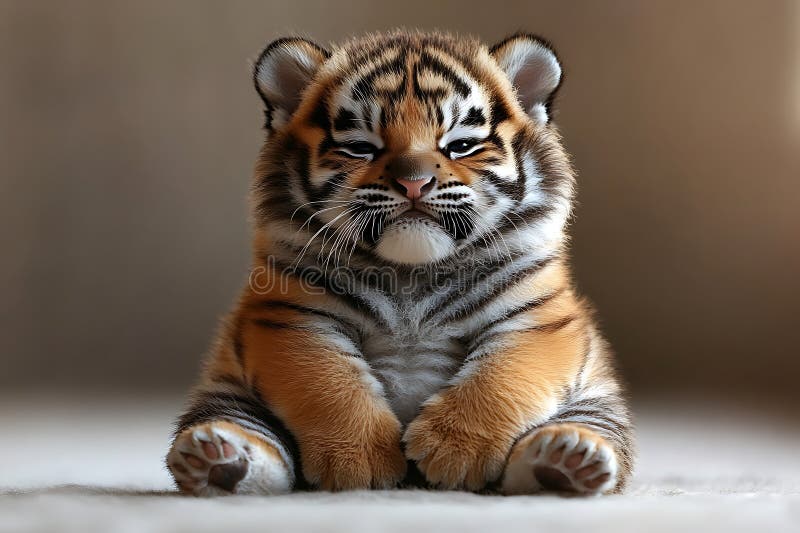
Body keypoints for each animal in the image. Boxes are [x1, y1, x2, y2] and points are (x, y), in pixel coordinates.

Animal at [166, 30, 635, 496]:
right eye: (361, 148)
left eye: (461, 145)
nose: (414, 182)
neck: (411, 271)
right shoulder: (295, 315)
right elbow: (329, 382)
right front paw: (361, 461)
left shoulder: (535, 317)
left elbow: (500, 378)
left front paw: (455, 453)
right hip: (230, 392)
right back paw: (215, 459)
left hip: (595, 399)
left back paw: (566, 460)